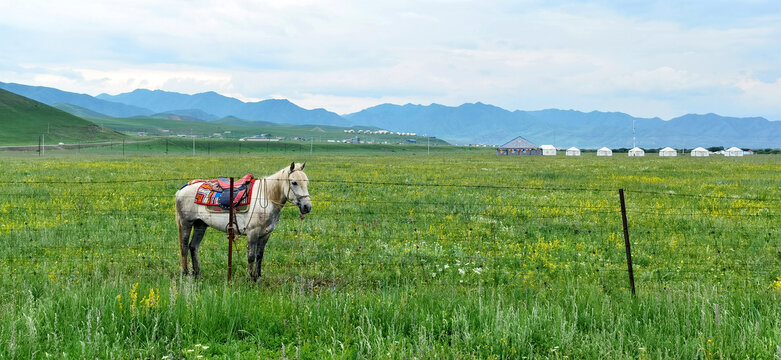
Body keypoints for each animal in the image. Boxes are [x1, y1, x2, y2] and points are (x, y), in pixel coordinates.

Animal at [177, 161, 310, 282]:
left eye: (307, 182)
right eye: (294, 182)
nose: (307, 207)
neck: (266, 197)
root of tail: (182, 189)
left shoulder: (265, 234)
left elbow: (259, 256)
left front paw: (258, 277)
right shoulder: (253, 233)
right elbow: (251, 256)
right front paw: (250, 279)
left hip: (200, 225)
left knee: (193, 246)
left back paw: (197, 274)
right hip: (186, 223)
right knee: (184, 246)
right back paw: (185, 273)